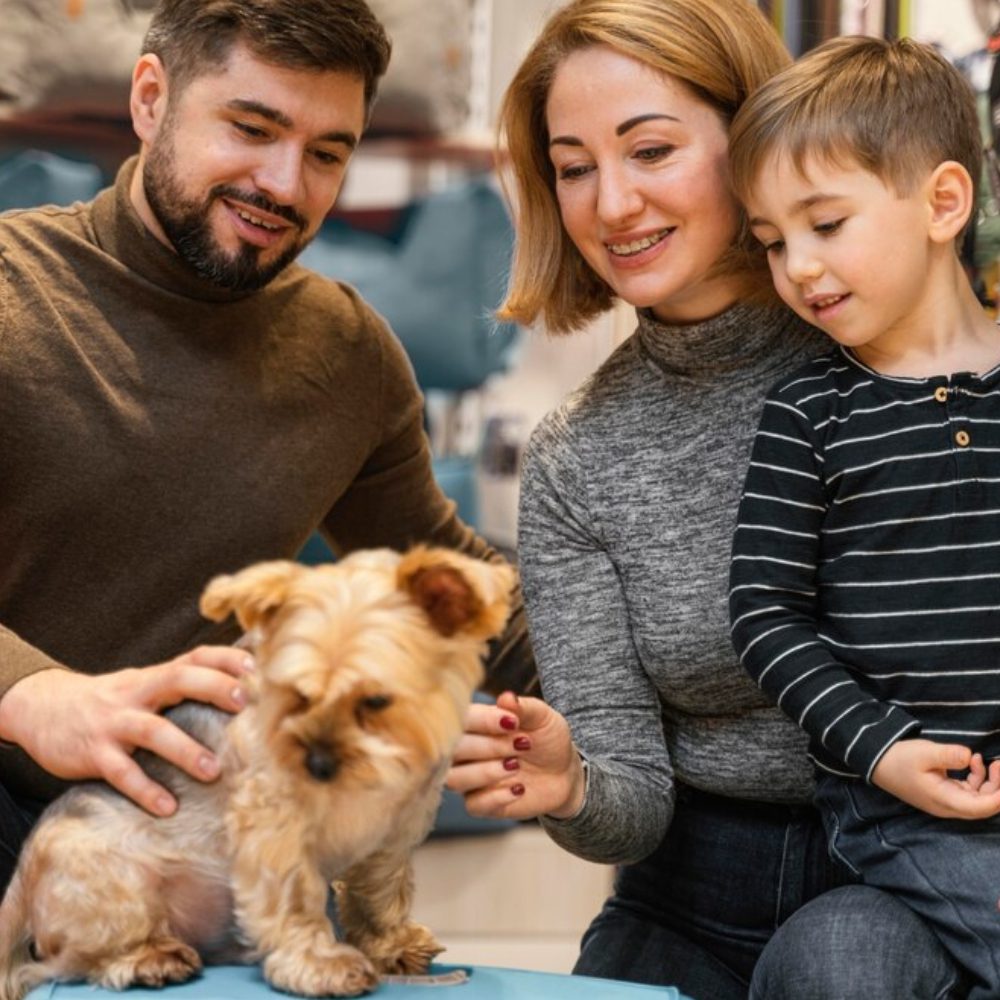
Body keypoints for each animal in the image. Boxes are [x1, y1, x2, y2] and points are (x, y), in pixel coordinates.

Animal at [0, 548, 512, 1000]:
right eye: (296, 696)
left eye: (376, 700)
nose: (316, 765)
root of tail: (20, 882)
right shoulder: (273, 821)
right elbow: (295, 895)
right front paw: (319, 964)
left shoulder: (398, 825)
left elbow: (381, 888)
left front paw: (391, 944)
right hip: (112, 882)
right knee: (72, 961)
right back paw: (149, 958)